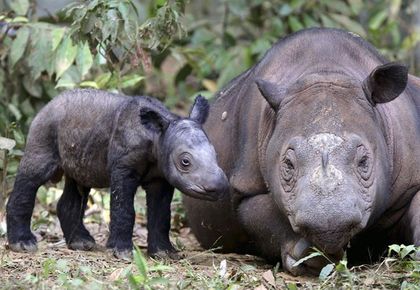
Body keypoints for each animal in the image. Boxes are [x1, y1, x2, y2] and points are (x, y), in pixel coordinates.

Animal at [6, 88, 228, 258]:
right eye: (185, 162)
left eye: (216, 154)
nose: (219, 187)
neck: (157, 137)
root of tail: (48, 104)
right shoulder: (124, 167)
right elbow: (124, 208)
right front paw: (121, 252)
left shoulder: (161, 176)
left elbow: (161, 214)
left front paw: (164, 254)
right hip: (45, 127)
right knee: (34, 175)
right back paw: (23, 245)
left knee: (79, 183)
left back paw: (81, 243)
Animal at [183, 28, 420, 276]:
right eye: (288, 165)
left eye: (364, 161)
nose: (329, 226)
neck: (325, 70)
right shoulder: (245, 187)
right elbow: (262, 216)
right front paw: (312, 258)